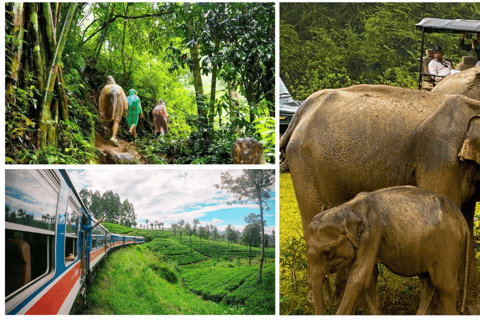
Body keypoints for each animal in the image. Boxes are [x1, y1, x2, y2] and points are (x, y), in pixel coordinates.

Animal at [308, 186, 468, 314]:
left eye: (327, 251)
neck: (347, 208)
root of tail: (460, 218)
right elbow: (369, 278)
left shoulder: (371, 235)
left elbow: (359, 278)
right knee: (429, 282)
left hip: (448, 245)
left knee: (444, 286)